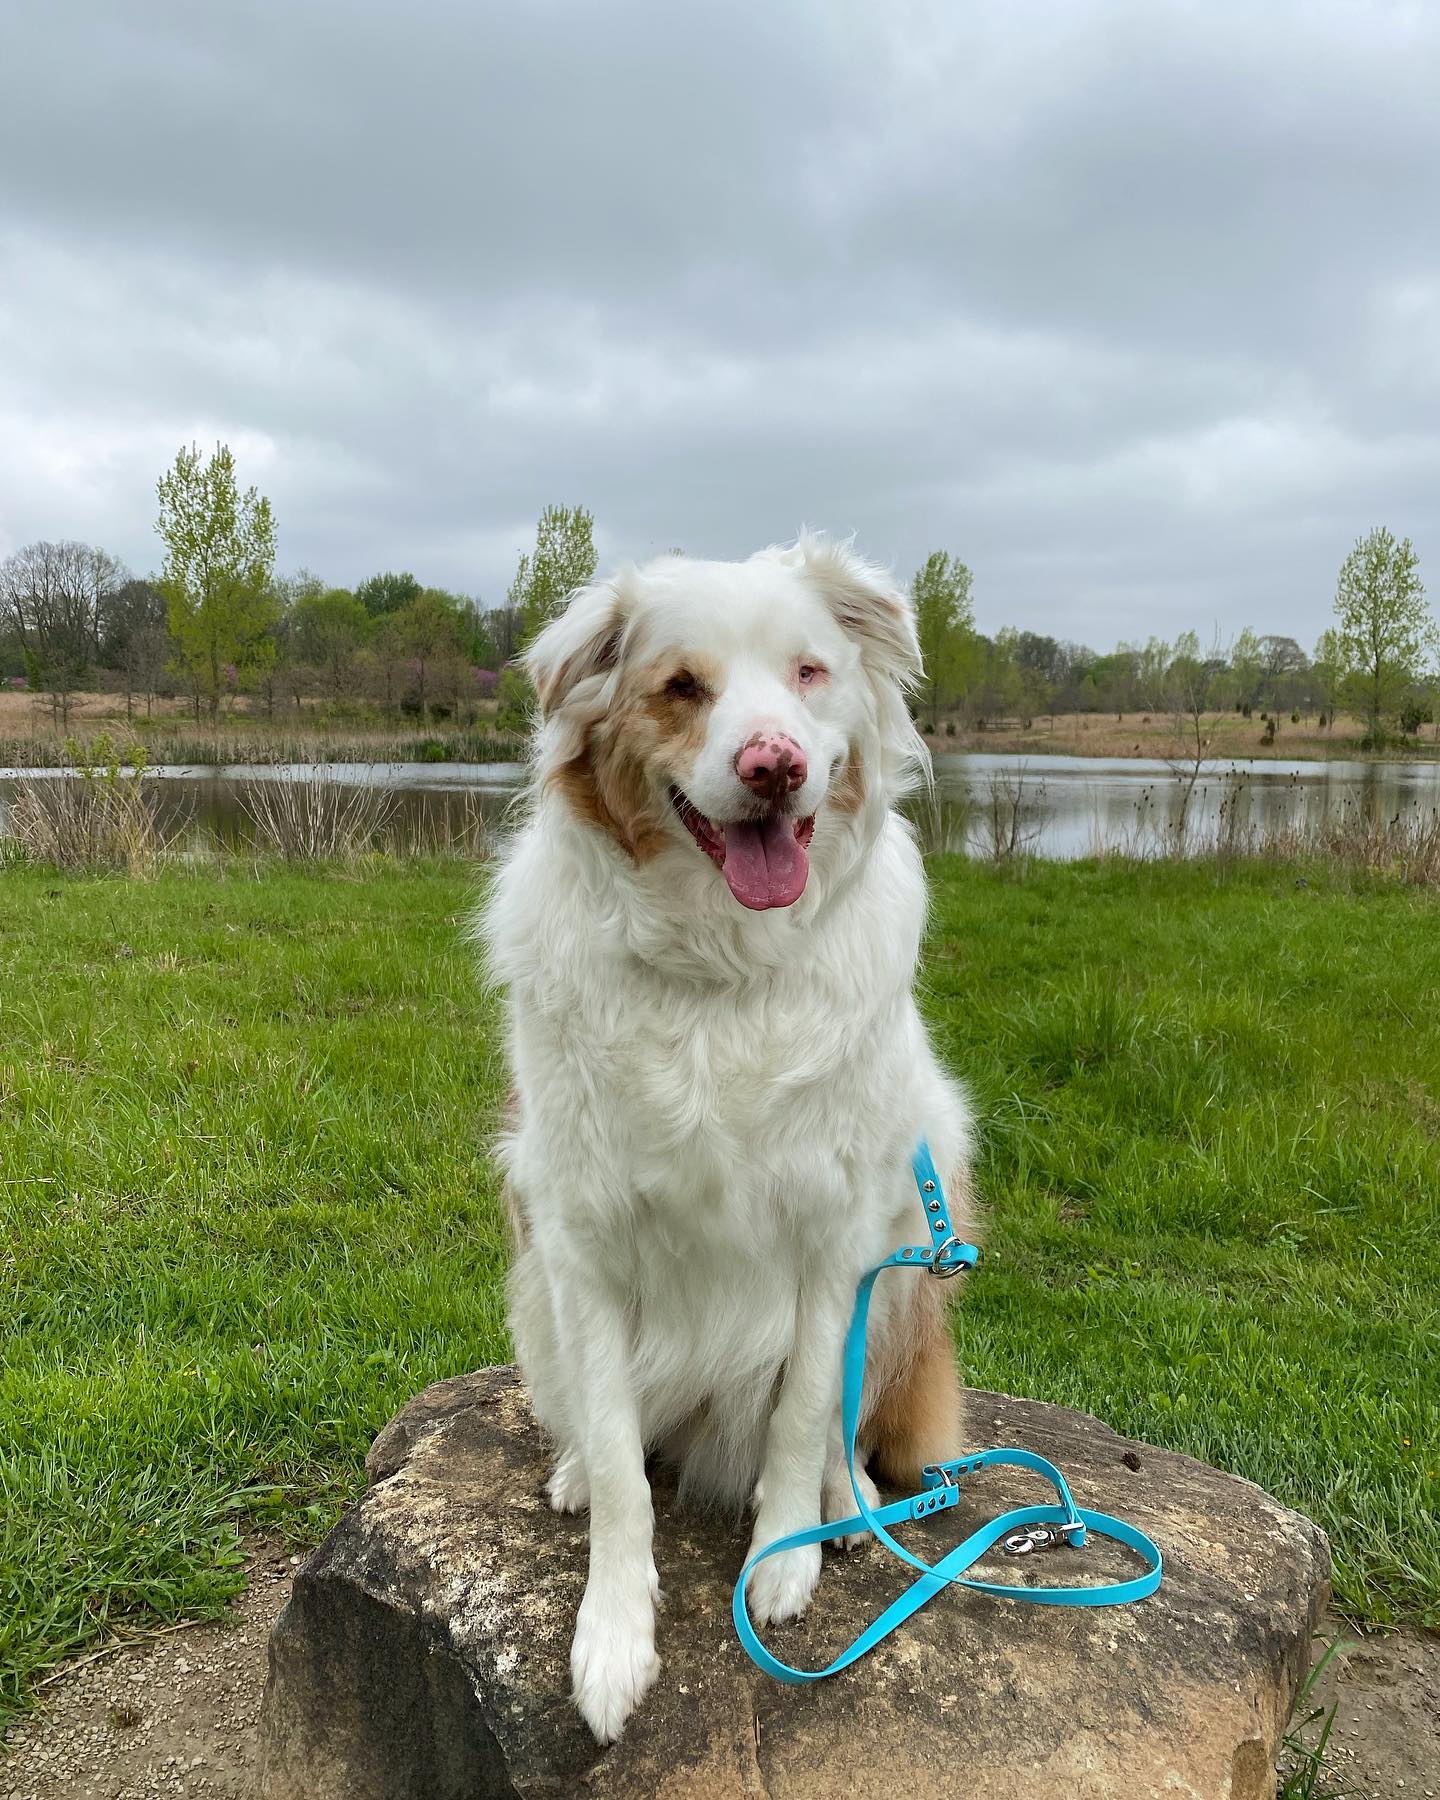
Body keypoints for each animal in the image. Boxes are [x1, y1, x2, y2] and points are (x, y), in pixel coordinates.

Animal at [486, 532, 979, 1742]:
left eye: (808, 673)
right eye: (681, 687)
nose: (773, 766)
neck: (722, 971)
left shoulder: (838, 1229)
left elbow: (803, 1413)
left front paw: (785, 1558)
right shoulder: (579, 1234)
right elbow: (624, 1464)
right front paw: (613, 1636)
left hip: (919, 1219)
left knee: (846, 1422)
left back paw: (849, 1504)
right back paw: (572, 1465)